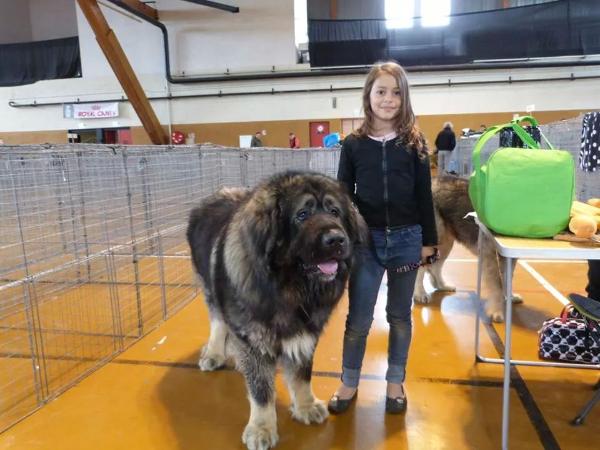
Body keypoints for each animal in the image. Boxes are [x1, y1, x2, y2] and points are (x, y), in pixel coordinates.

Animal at [188, 171, 366, 448]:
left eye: (334, 212)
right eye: (302, 214)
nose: (337, 239)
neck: (287, 288)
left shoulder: (306, 333)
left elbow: (302, 374)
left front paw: (305, 406)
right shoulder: (253, 340)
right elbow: (261, 391)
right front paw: (261, 428)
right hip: (210, 289)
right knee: (218, 323)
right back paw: (214, 353)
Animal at [412, 174, 516, 322]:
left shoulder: (509, 255)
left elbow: (508, 278)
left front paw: (510, 297)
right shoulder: (489, 252)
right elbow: (497, 285)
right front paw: (497, 311)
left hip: (446, 243)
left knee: (435, 267)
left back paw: (442, 286)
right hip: (434, 240)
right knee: (421, 268)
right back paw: (420, 293)